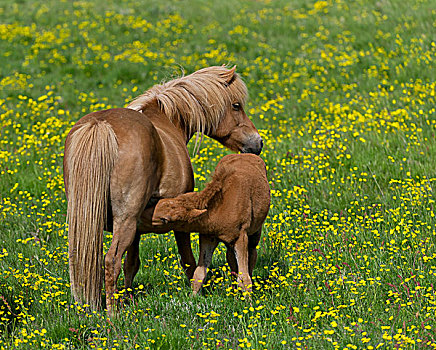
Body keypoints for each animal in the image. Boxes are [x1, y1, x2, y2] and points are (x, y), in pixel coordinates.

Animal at [152, 154, 270, 294]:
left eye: (165, 219)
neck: (219, 207)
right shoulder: (208, 237)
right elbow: (199, 274)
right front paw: (193, 297)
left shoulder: (241, 237)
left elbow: (244, 279)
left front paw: (248, 299)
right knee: (231, 260)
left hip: (255, 232)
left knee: (252, 254)